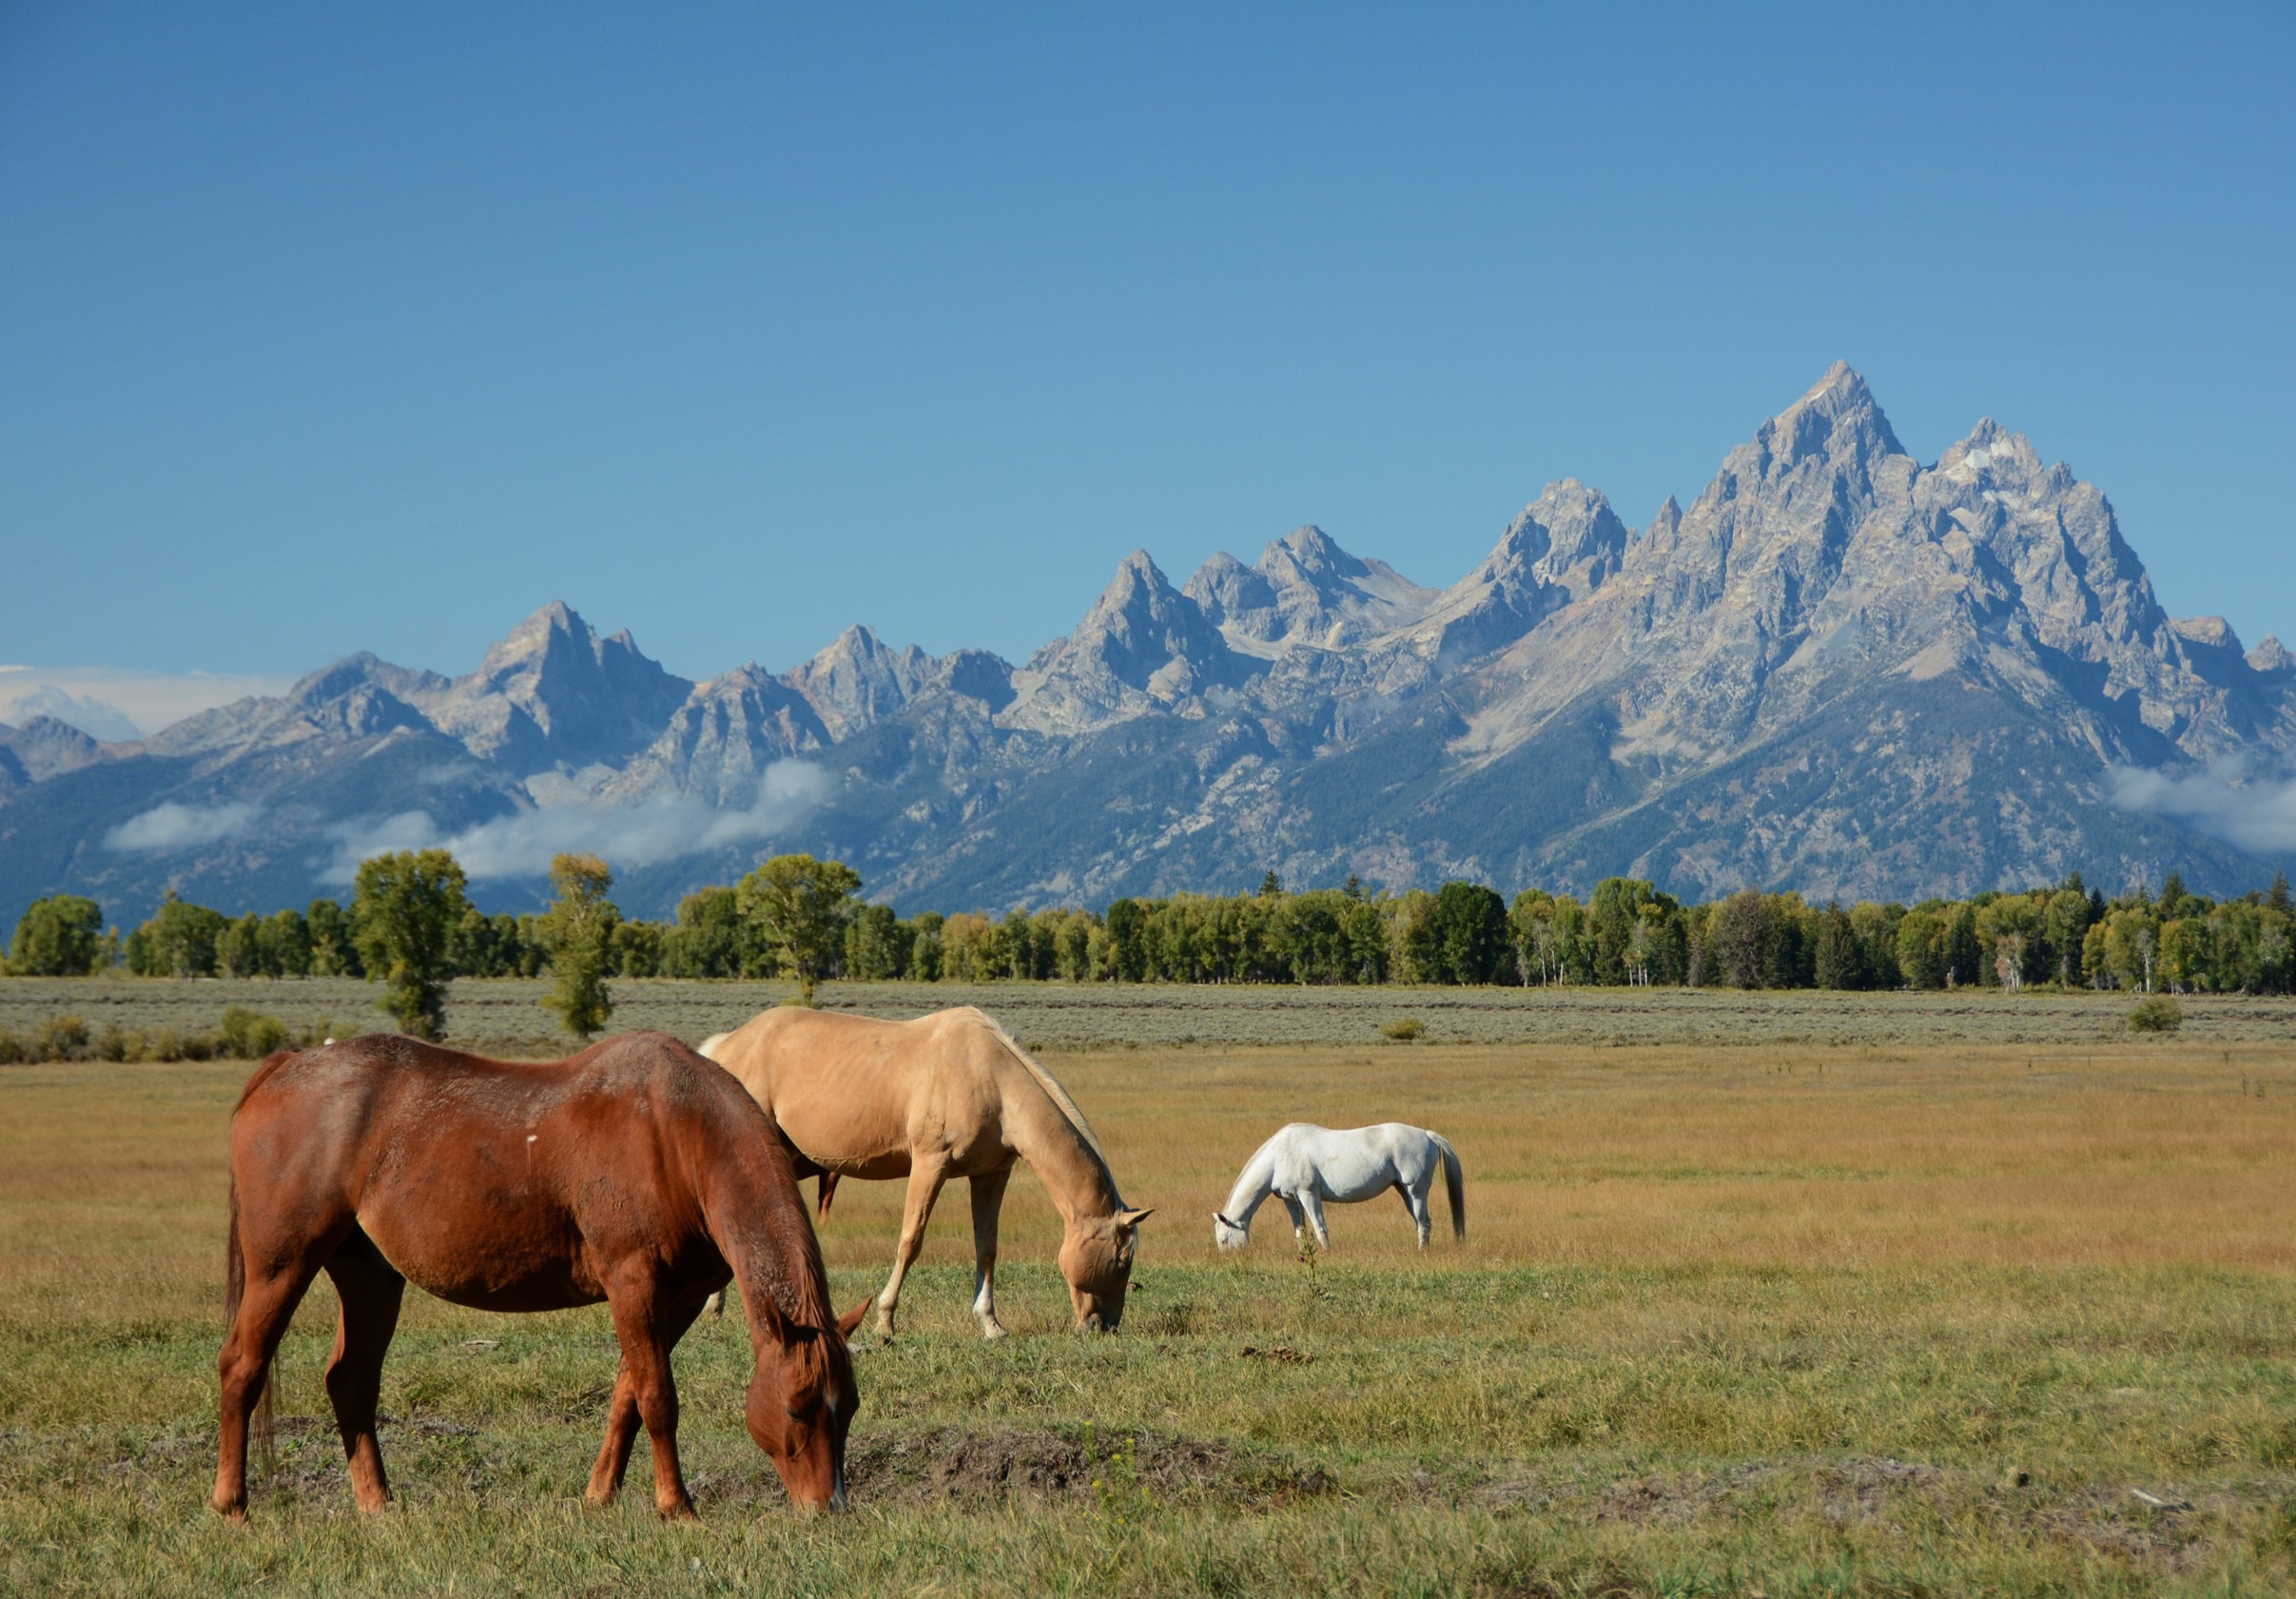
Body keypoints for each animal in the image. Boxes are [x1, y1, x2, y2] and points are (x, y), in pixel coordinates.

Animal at [211, 1029, 867, 1534]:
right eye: (798, 1408)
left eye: (851, 1407)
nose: (829, 1509)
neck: (676, 1133)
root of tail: (285, 1066)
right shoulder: (633, 1283)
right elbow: (658, 1398)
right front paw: (675, 1508)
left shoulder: (677, 1299)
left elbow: (627, 1396)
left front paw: (600, 1497)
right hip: (282, 1266)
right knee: (243, 1366)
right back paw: (232, 1505)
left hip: (371, 1277)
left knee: (350, 1382)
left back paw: (378, 1506)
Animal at [697, 1010, 1157, 1332]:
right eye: (1122, 1261)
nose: (1103, 1326)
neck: (991, 1079)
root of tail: (725, 1045)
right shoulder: (929, 1165)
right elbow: (910, 1241)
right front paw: (884, 1322)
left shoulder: (991, 1175)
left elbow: (986, 1247)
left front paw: (990, 1323)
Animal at [1212, 1116, 1460, 1258]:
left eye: (1224, 1240)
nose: (1227, 1259)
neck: (1279, 1155)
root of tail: (1427, 1134)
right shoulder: (1291, 1200)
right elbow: (1300, 1231)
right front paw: (1304, 1255)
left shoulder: (1308, 1195)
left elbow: (1320, 1227)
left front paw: (1327, 1253)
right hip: (1403, 1190)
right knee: (1420, 1220)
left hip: (1416, 1190)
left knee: (1424, 1221)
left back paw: (1422, 1251)